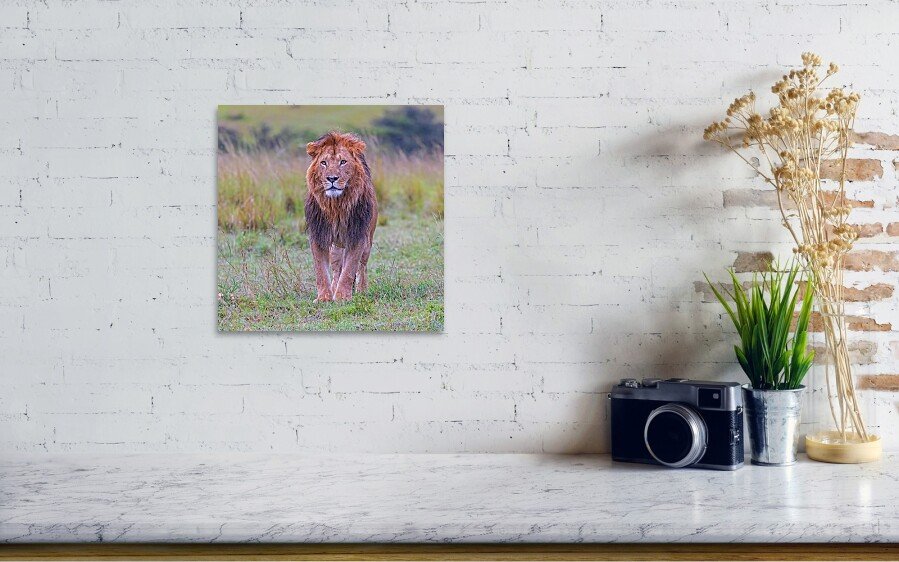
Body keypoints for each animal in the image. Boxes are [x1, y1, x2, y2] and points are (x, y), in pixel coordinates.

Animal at [304, 131, 378, 302]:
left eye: (343, 162)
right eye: (323, 163)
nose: (332, 178)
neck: (336, 206)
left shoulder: (357, 235)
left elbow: (350, 269)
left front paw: (343, 296)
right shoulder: (318, 234)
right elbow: (320, 271)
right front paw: (324, 297)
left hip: (367, 243)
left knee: (362, 267)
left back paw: (361, 290)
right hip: (336, 248)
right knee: (337, 269)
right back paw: (334, 288)